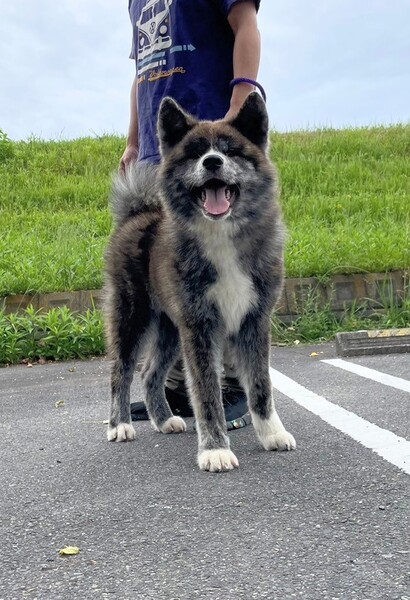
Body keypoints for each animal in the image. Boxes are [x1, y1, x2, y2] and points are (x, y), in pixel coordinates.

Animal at [104, 93, 296, 472]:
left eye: (231, 150)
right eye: (194, 153)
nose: (211, 162)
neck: (221, 236)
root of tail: (138, 213)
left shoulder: (254, 321)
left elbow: (261, 385)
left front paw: (271, 433)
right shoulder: (201, 327)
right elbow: (207, 393)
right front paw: (214, 449)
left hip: (169, 328)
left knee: (150, 374)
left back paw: (163, 420)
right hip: (133, 317)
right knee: (122, 372)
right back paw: (120, 425)